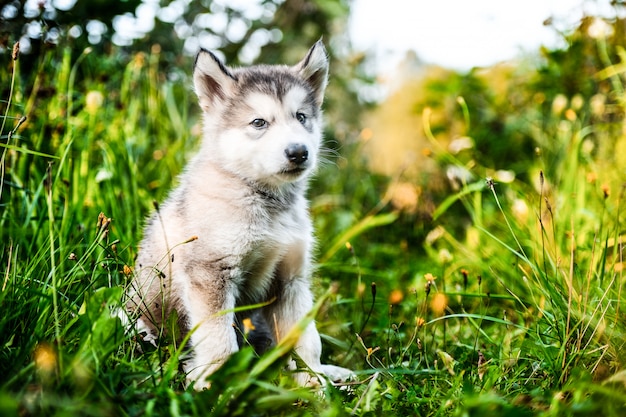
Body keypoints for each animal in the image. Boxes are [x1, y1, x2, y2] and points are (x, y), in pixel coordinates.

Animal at [127, 40, 352, 388]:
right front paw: (215, 387)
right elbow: (219, 341)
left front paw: (313, 384)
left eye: (301, 117)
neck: (265, 202)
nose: (299, 152)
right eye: (259, 123)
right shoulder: (210, 274)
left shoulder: (291, 280)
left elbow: (306, 340)